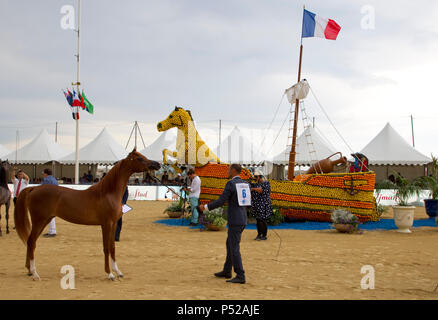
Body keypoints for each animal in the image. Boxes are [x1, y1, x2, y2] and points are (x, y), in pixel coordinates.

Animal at [13, 149, 161, 280]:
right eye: (139, 158)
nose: (157, 164)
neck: (108, 193)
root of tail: (34, 188)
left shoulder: (113, 224)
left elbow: (113, 247)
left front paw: (118, 272)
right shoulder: (106, 224)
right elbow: (106, 248)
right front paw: (109, 274)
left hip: (45, 220)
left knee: (31, 242)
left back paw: (29, 271)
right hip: (39, 220)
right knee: (31, 242)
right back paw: (35, 273)